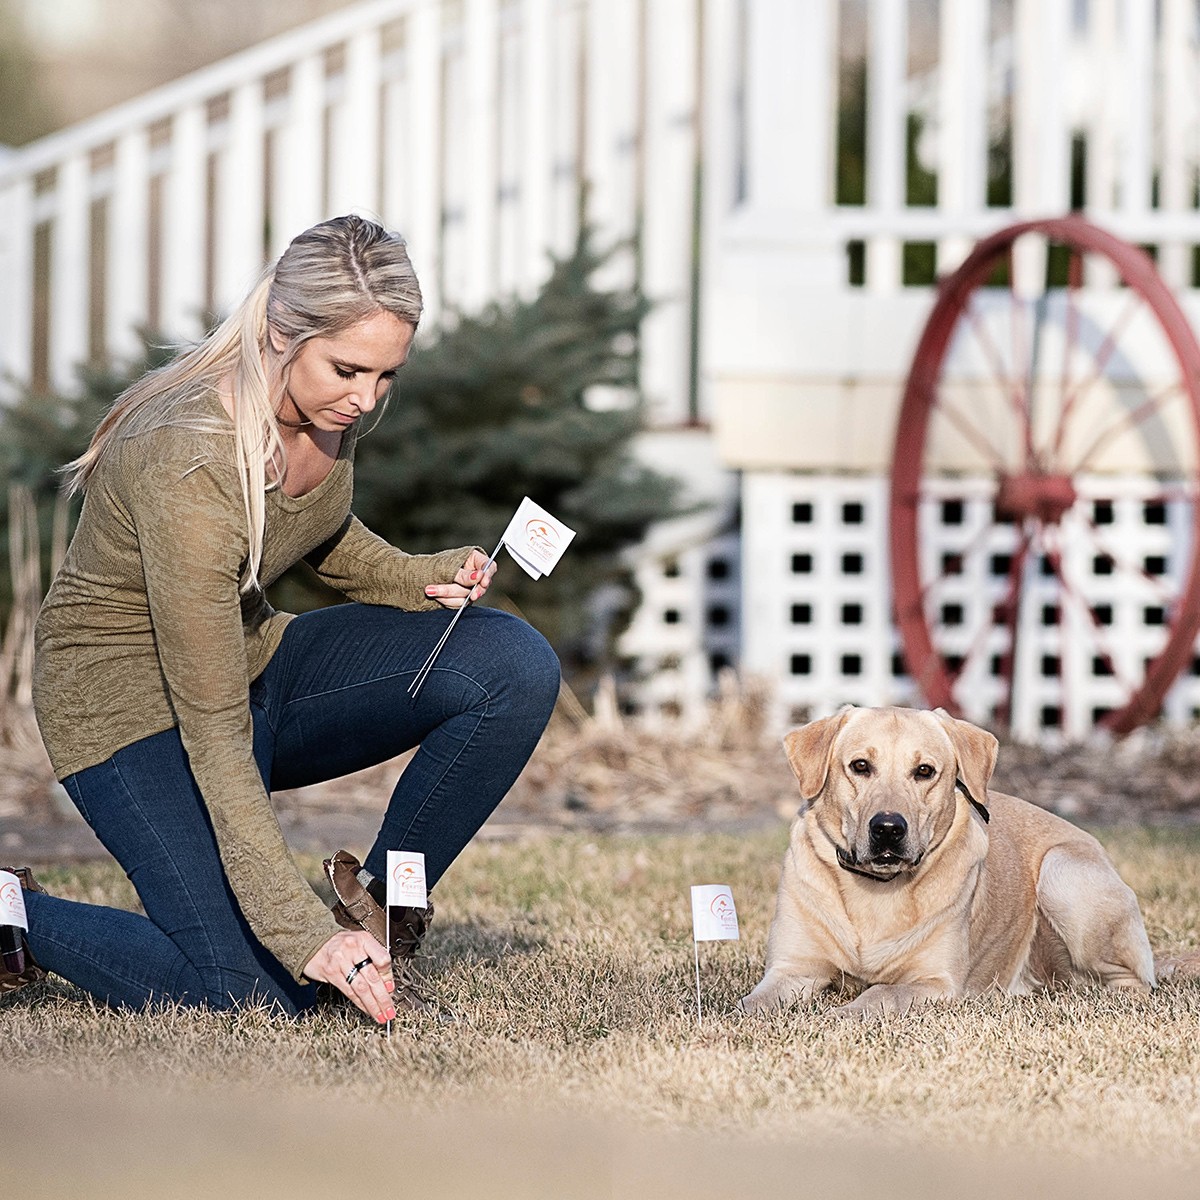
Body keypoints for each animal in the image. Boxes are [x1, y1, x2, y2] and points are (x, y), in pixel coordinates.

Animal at [739, 705, 1161, 1017]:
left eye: (924, 771)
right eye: (860, 766)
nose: (888, 828)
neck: (876, 890)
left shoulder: (935, 982)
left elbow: (880, 994)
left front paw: (843, 1013)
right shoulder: (792, 970)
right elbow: (752, 1004)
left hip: (1062, 873)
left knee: (1135, 983)